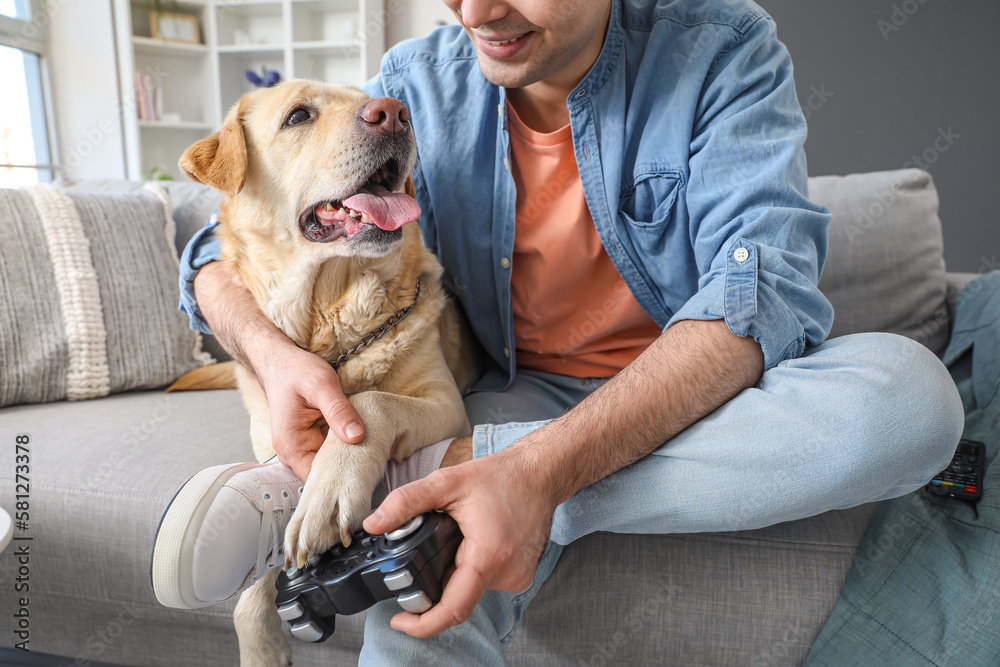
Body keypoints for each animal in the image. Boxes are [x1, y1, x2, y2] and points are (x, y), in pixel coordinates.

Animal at [178, 81, 474, 664]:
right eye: (298, 116)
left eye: (370, 96)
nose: (395, 112)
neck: (329, 324)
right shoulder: (272, 439)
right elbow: (254, 585)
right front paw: (262, 642)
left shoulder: (446, 403)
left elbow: (370, 402)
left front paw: (328, 490)